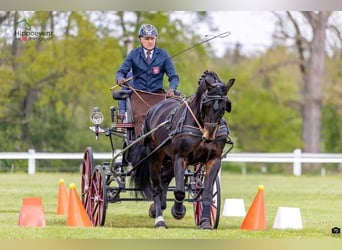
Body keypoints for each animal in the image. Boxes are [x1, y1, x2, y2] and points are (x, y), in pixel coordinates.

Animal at [129, 70, 235, 229]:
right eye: (206, 104)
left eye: (224, 107)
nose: (209, 135)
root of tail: (153, 109)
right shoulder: (180, 157)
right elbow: (179, 191)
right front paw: (178, 211)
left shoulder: (213, 159)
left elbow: (208, 192)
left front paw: (205, 222)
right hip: (155, 155)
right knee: (156, 187)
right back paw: (159, 218)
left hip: (169, 158)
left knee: (164, 178)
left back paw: (158, 207)